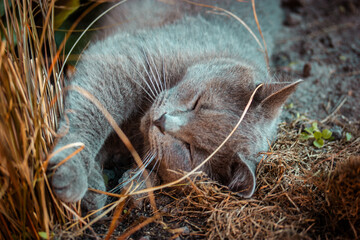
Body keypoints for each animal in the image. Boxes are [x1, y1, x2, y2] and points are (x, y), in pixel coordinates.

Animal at [47, 0, 300, 213]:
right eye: (198, 102)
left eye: (190, 149)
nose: (162, 121)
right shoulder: (124, 57)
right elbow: (92, 114)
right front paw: (73, 171)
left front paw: (91, 189)